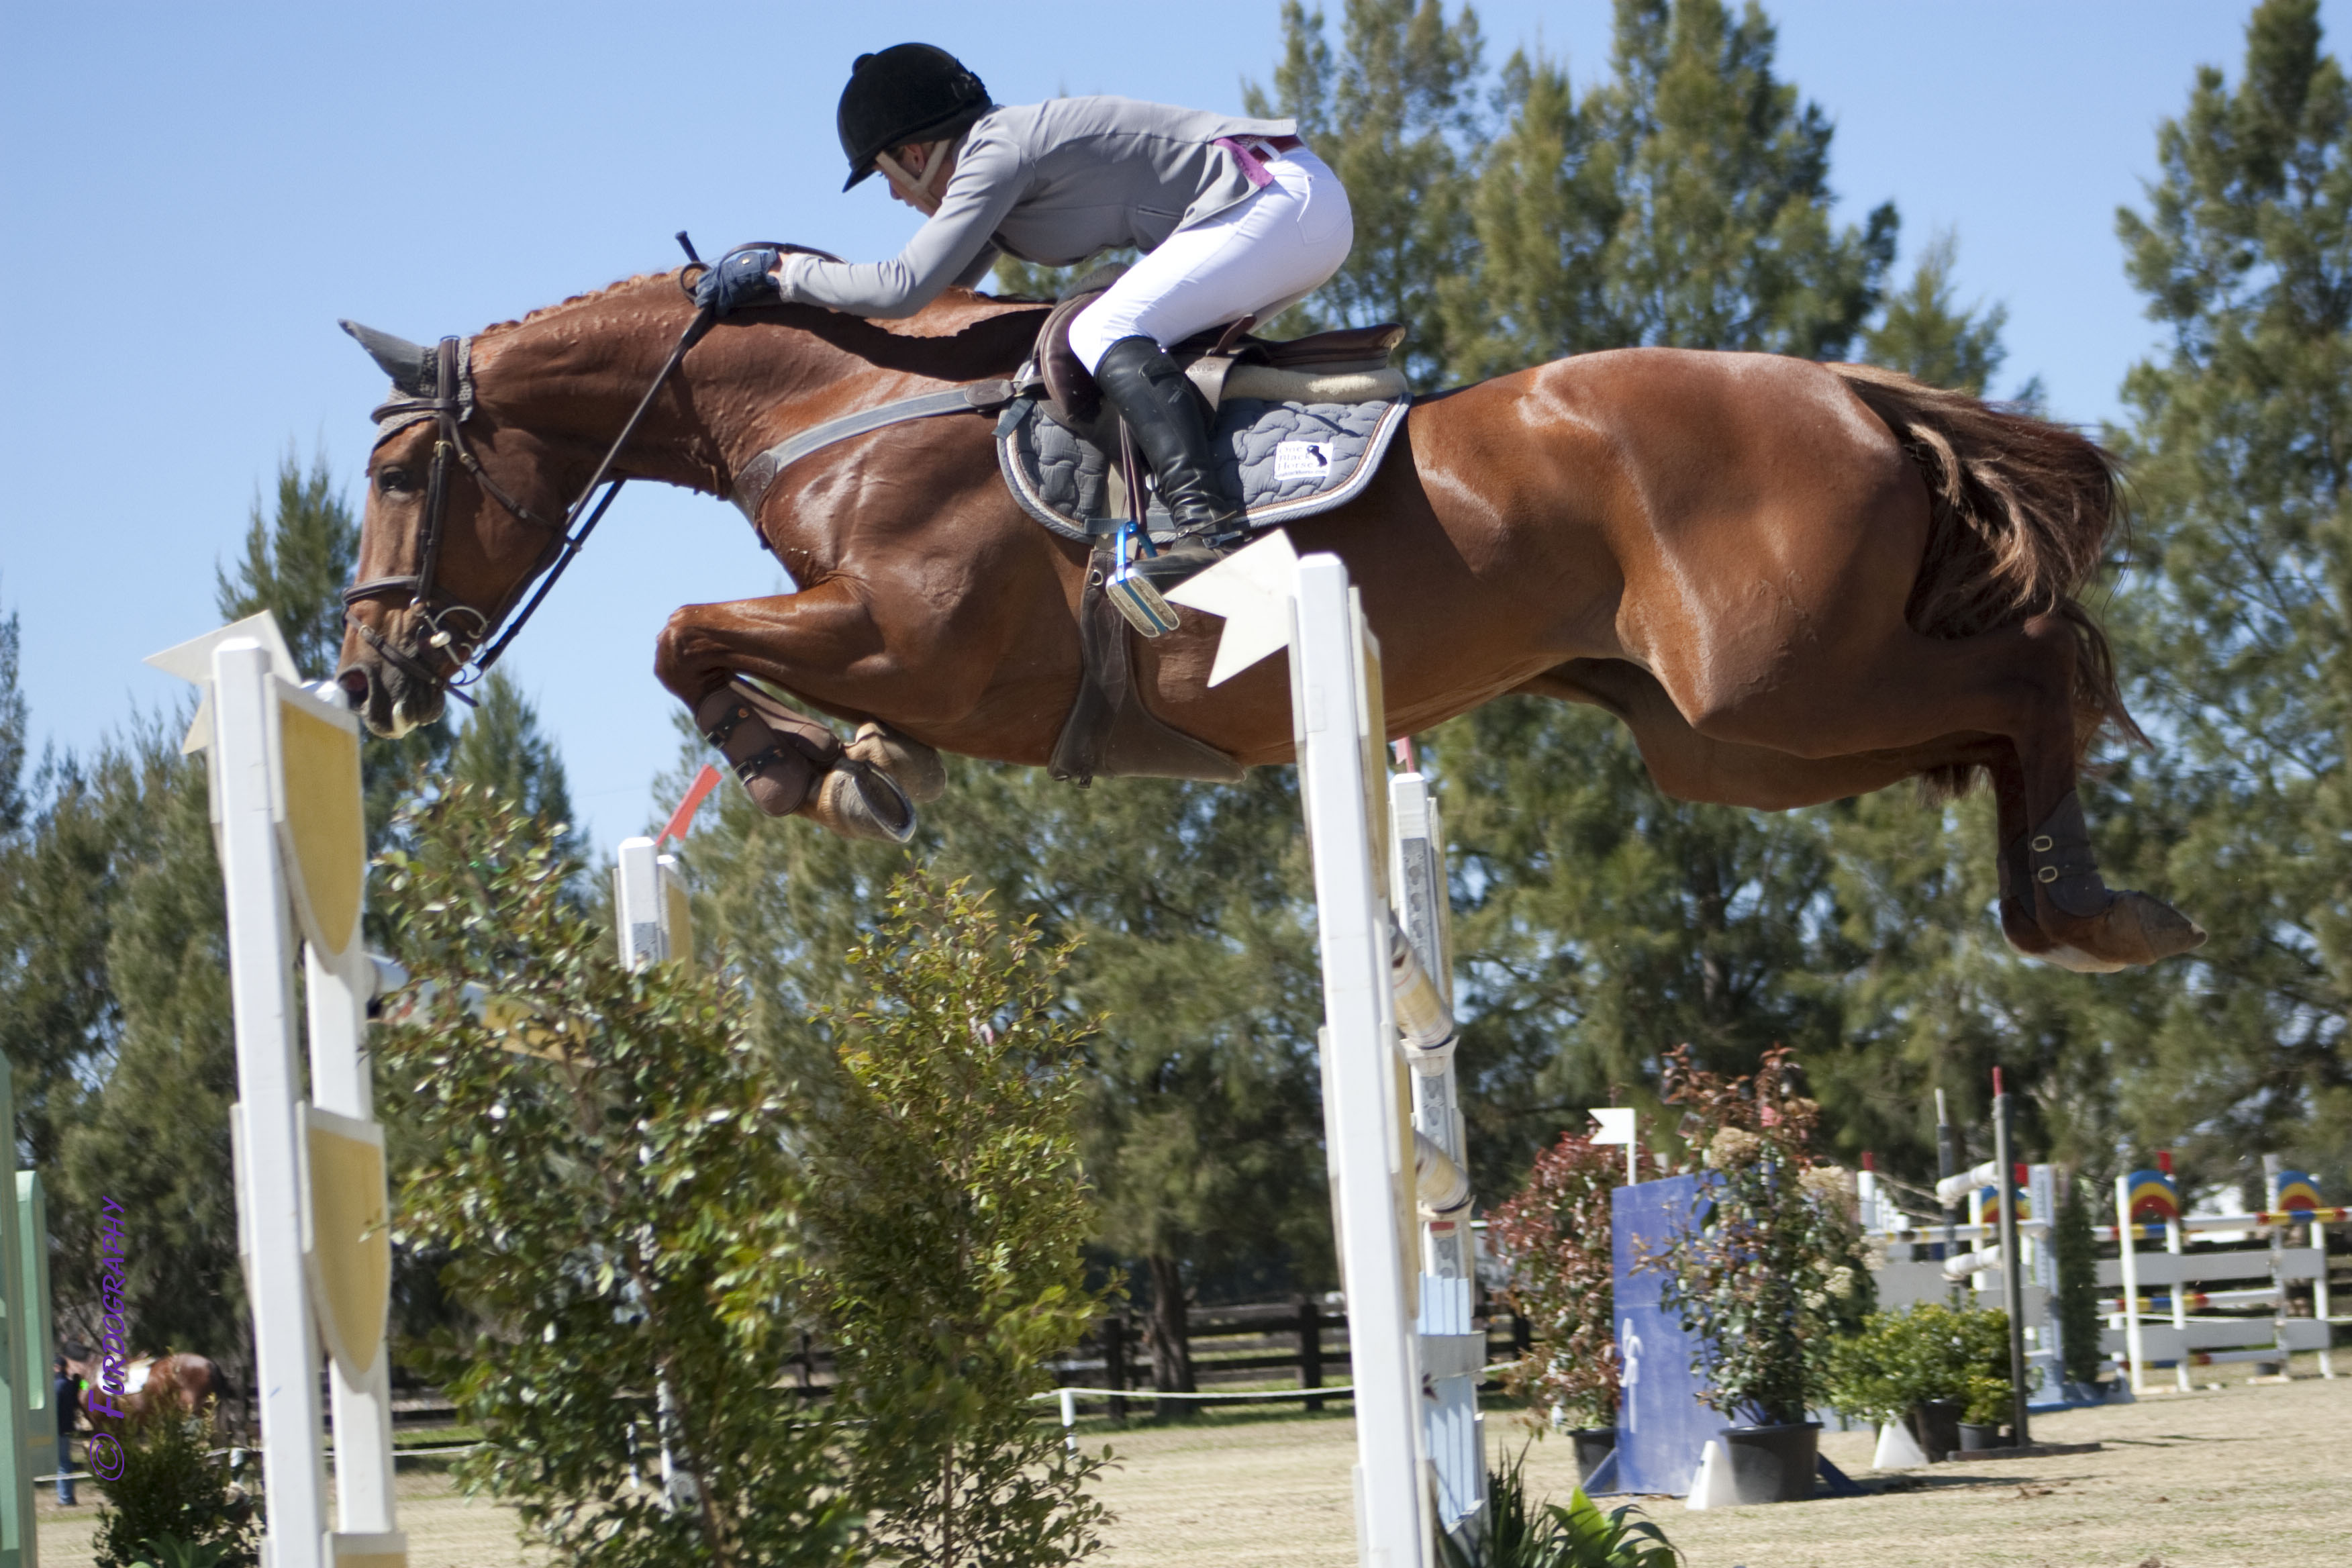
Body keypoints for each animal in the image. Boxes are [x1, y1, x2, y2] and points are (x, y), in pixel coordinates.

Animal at [336, 273, 2201, 982]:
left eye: (403, 469)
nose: (367, 673)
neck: (844, 401)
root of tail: (1847, 392)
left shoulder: (919, 641)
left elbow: (680, 632)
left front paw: (820, 771)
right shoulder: (885, 646)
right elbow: (707, 643)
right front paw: (841, 765)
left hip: (1781, 677)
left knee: (2036, 666)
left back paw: (2090, 907)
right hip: (1733, 738)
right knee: (1993, 714)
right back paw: (2064, 893)